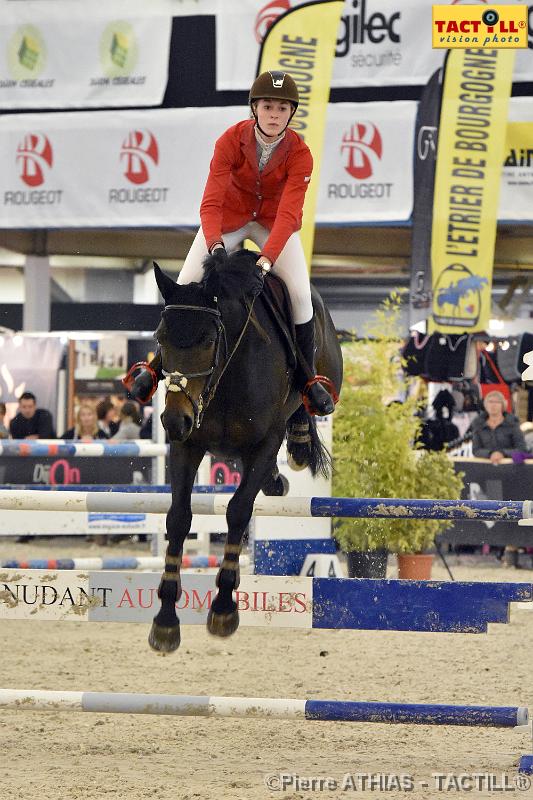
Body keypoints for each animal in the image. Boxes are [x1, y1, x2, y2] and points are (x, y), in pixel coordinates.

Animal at [150, 250, 340, 648]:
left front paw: (224, 608)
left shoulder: (264, 444)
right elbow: (179, 518)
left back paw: (300, 442)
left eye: (208, 339)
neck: (228, 371)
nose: (173, 420)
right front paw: (165, 619)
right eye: (160, 338)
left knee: (305, 400)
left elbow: (238, 512)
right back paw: (276, 479)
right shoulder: (188, 445)